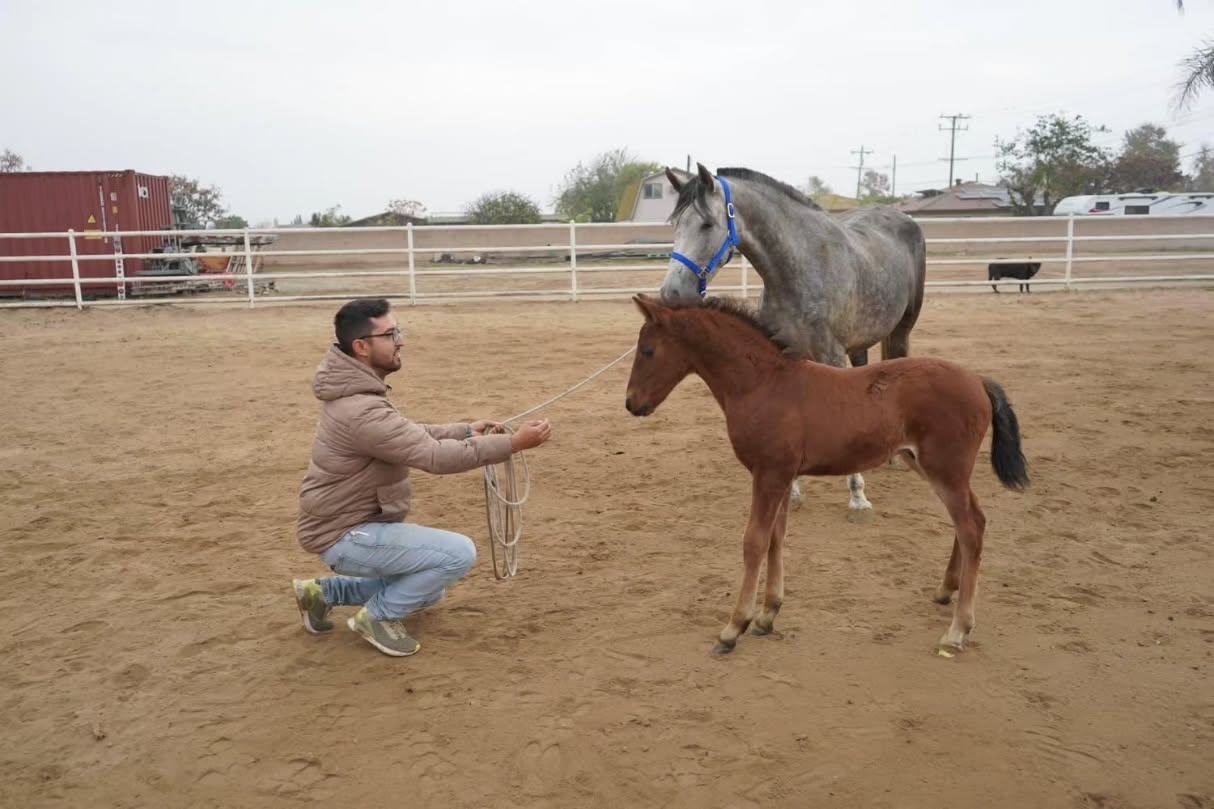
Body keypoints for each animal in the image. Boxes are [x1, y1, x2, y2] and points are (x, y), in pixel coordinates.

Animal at [623, 294, 1028, 656]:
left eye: (648, 351)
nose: (631, 403)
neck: (763, 383)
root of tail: (978, 380)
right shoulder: (782, 475)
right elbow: (776, 537)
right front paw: (768, 615)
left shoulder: (768, 473)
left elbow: (754, 541)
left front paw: (733, 627)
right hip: (932, 467)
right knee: (969, 520)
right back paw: (946, 591)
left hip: (945, 468)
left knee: (971, 526)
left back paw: (957, 631)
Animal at [658, 163, 927, 520]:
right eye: (676, 224)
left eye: (706, 224)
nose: (672, 293)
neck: (800, 267)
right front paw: (794, 491)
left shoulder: (831, 355)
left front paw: (858, 495)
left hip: (901, 331)